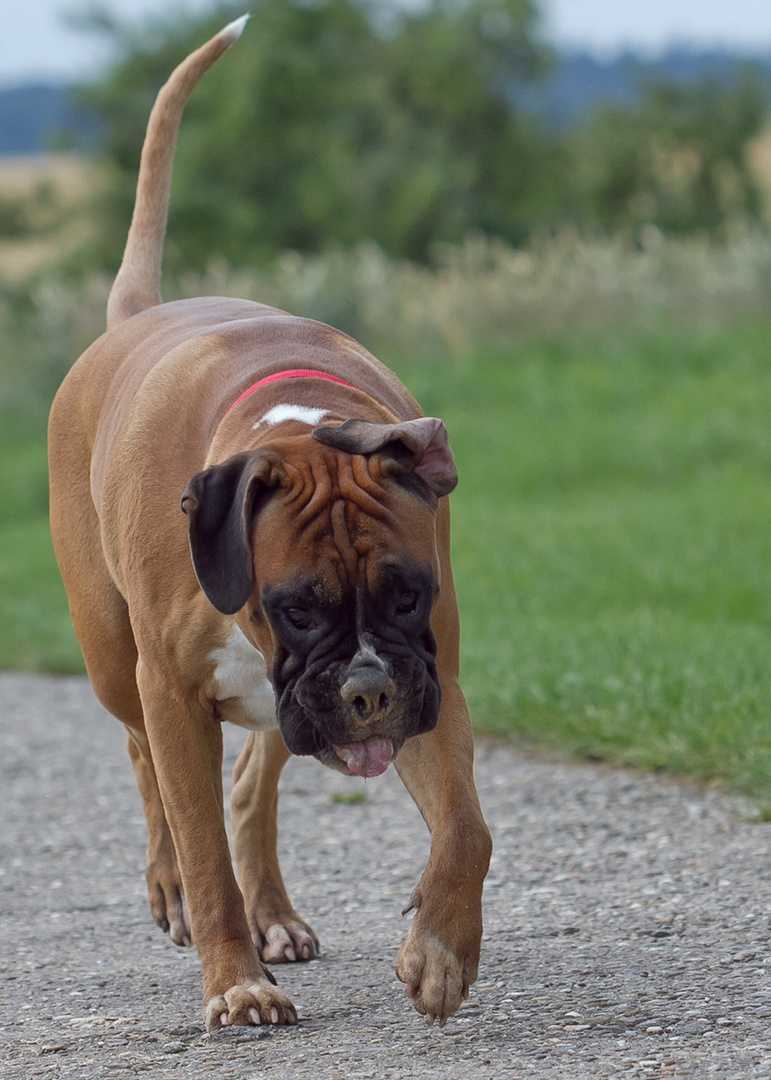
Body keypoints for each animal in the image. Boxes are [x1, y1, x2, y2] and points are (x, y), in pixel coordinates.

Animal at [48, 14, 490, 1028]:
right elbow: (200, 839)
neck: (293, 425)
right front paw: (235, 981)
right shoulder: (174, 694)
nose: (366, 688)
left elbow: (466, 829)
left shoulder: (433, 683)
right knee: (146, 766)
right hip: (116, 663)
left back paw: (277, 918)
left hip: (281, 707)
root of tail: (131, 316)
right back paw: (179, 896)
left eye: (406, 598)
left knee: (252, 784)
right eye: (295, 607)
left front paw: (439, 951)